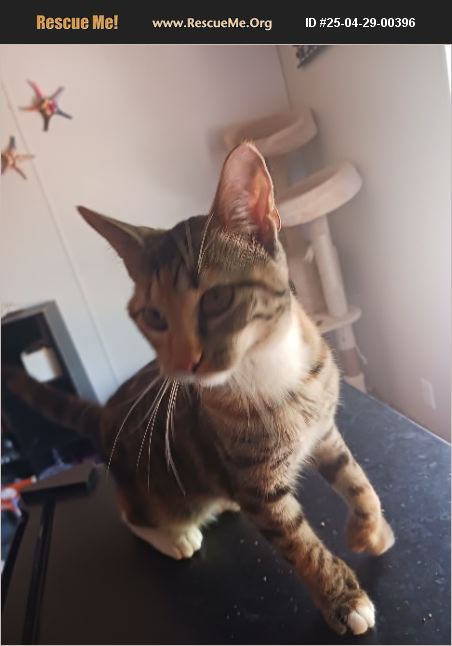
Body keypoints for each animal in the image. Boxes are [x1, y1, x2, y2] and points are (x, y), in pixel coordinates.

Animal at [4, 141, 394, 636]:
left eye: (217, 299)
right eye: (153, 316)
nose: (184, 362)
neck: (269, 366)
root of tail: (104, 413)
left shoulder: (323, 428)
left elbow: (357, 477)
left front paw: (371, 530)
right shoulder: (257, 486)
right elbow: (300, 543)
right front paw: (342, 598)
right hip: (152, 485)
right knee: (133, 513)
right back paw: (173, 536)